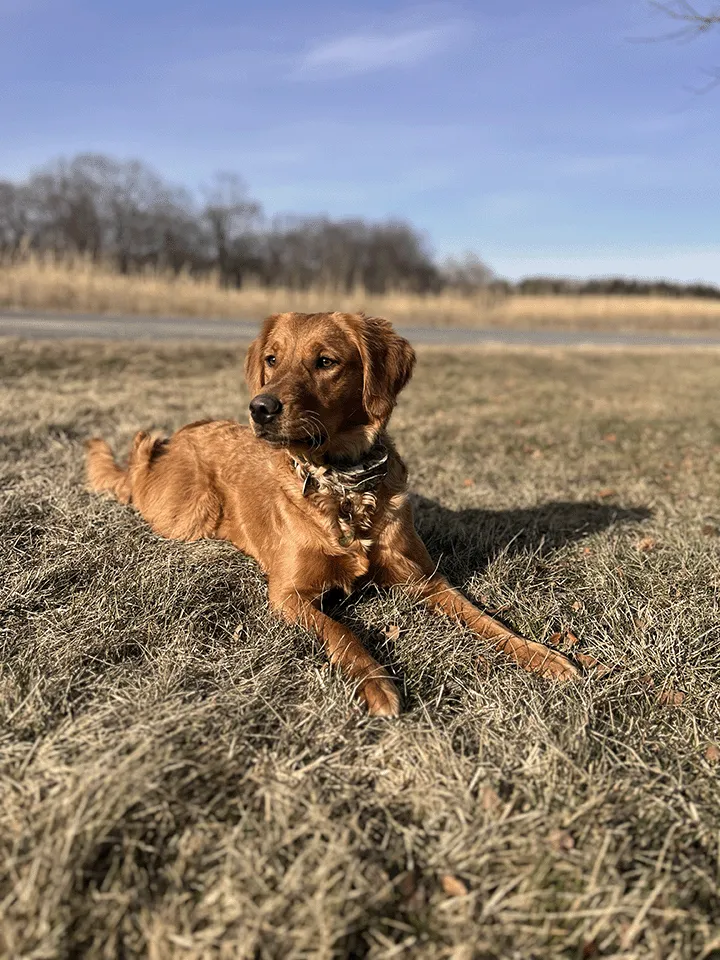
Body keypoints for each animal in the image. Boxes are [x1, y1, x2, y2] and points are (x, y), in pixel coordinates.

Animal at [86, 312, 580, 716]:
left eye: (325, 362)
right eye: (271, 359)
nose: (260, 408)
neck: (343, 484)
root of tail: (172, 441)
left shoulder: (426, 579)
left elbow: (486, 620)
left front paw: (543, 655)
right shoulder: (289, 594)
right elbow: (342, 633)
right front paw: (376, 682)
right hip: (189, 515)